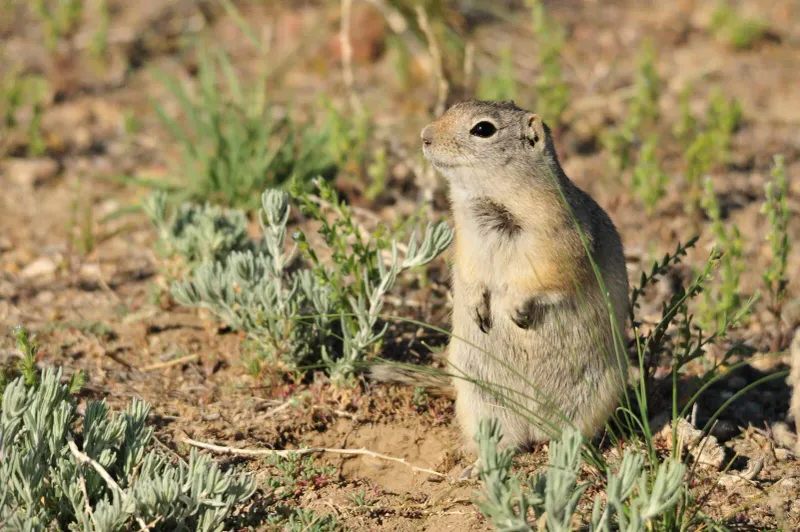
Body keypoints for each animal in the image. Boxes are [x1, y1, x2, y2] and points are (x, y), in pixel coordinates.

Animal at [373, 100, 630, 451]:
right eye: (452, 107)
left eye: (483, 129)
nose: (425, 136)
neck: (490, 201)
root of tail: (533, 426)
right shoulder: (467, 243)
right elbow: (468, 276)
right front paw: (476, 308)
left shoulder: (561, 241)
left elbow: (548, 277)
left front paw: (515, 308)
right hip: (478, 400)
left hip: (597, 394)